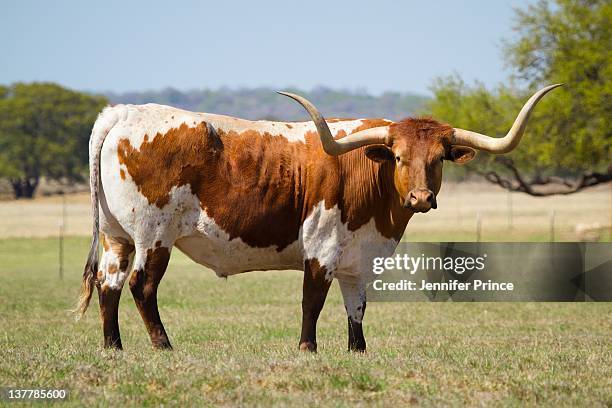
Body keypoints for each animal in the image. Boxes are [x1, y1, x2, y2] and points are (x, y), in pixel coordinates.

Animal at [74, 84, 560, 352]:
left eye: (439, 158)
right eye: (399, 157)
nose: (421, 196)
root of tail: (123, 113)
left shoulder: (358, 259)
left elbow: (356, 308)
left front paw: (358, 351)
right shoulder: (322, 250)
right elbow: (313, 302)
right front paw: (308, 348)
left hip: (118, 237)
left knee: (108, 284)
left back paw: (113, 347)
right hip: (154, 235)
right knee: (142, 286)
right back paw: (163, 345)